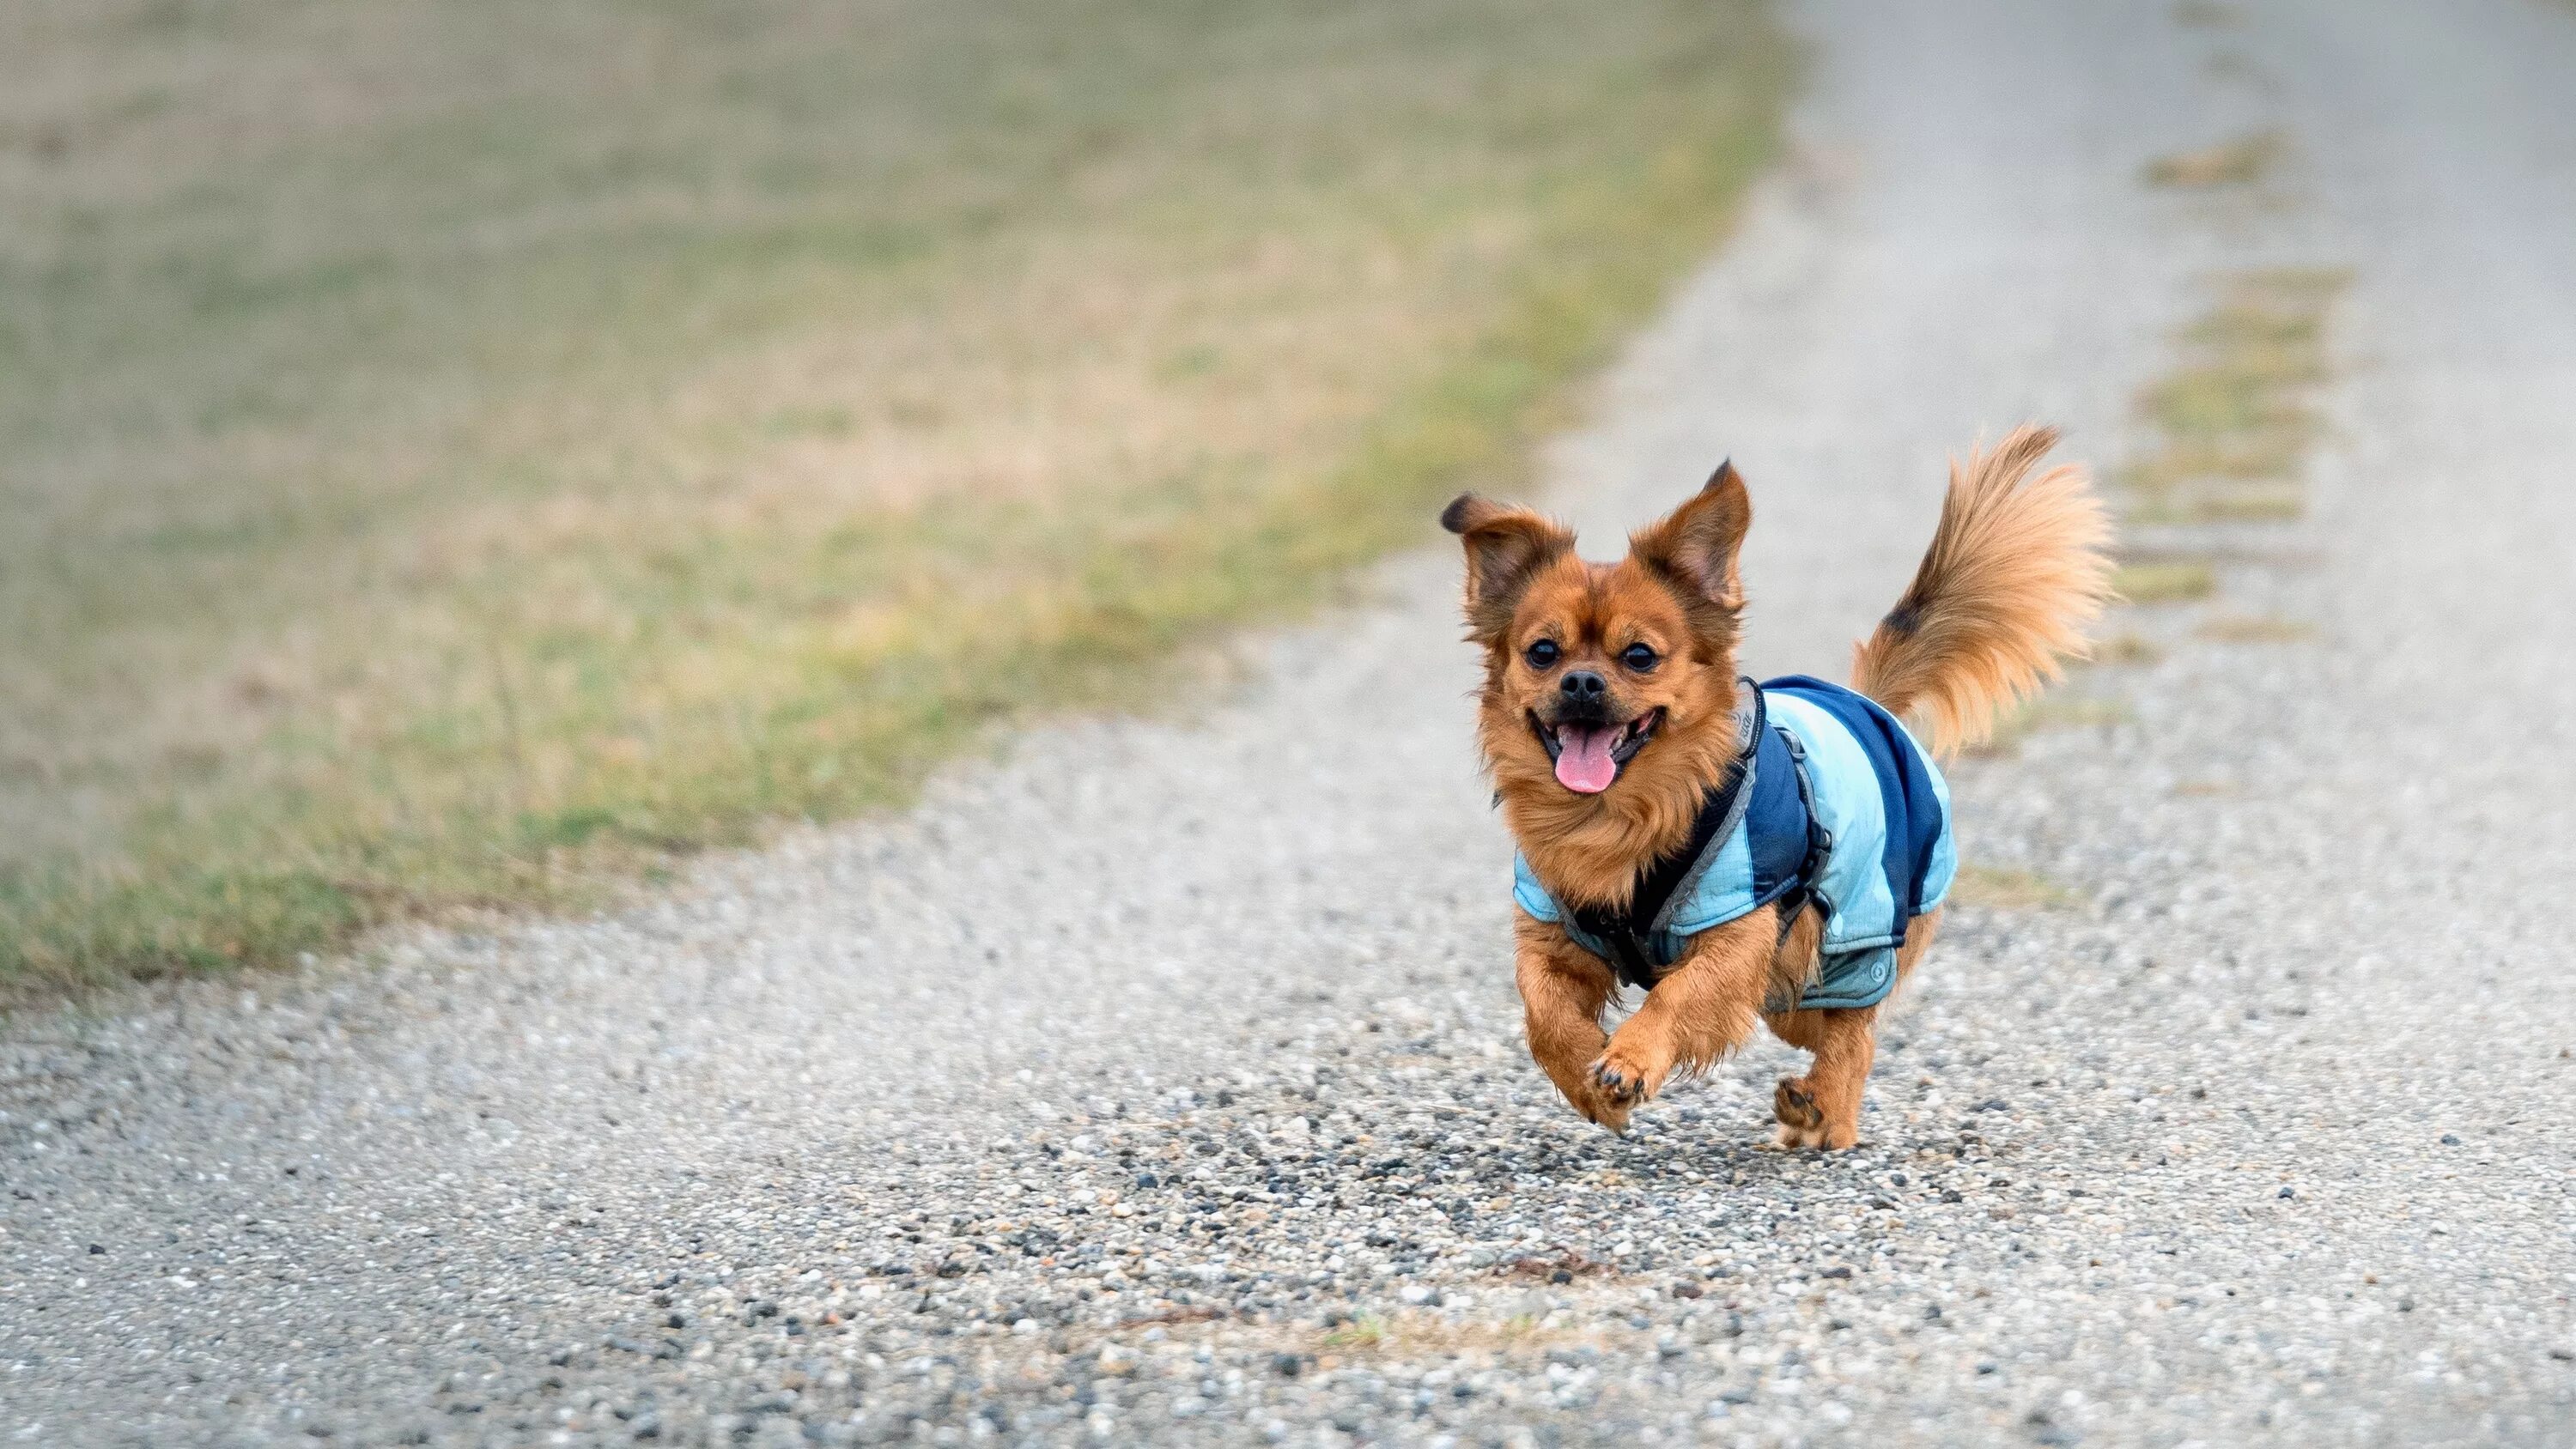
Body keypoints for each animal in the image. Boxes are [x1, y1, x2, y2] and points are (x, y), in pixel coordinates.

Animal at [1443, 424, 2102, 1153]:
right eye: (1542, 652)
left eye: (1639, 656)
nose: (1582, 682)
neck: (1615, 819)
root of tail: (1871, 704)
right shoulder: (1554, 937)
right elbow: (1544, 1013)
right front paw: (1589, 1078)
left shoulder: (1737, 935)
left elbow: (1677, 994)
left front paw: (1629, 1060)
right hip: (1793, 985)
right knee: (1823, 1027)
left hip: (1850, 946)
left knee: (1854, 1036)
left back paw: (1825, 1113)